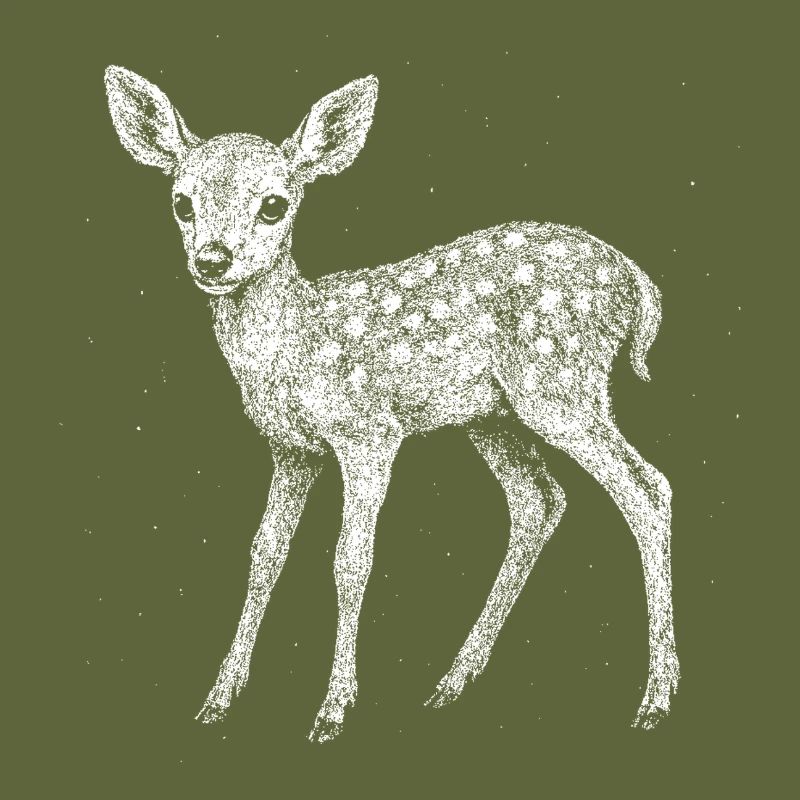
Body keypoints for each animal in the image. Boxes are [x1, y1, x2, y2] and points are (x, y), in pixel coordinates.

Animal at [104, 66, 680, 742]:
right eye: (181, 202)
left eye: (274, 204)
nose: (213, 260)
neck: (296, 344)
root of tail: (639, 284)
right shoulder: (291, 449)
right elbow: (264, 553)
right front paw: (219, 697)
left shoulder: (369, 433)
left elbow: (350, 560)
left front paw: (333, 708)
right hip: (494, 414)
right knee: (539, 501)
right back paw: (453, 681)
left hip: (561, 383)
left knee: (646, 487)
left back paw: (656, 698)